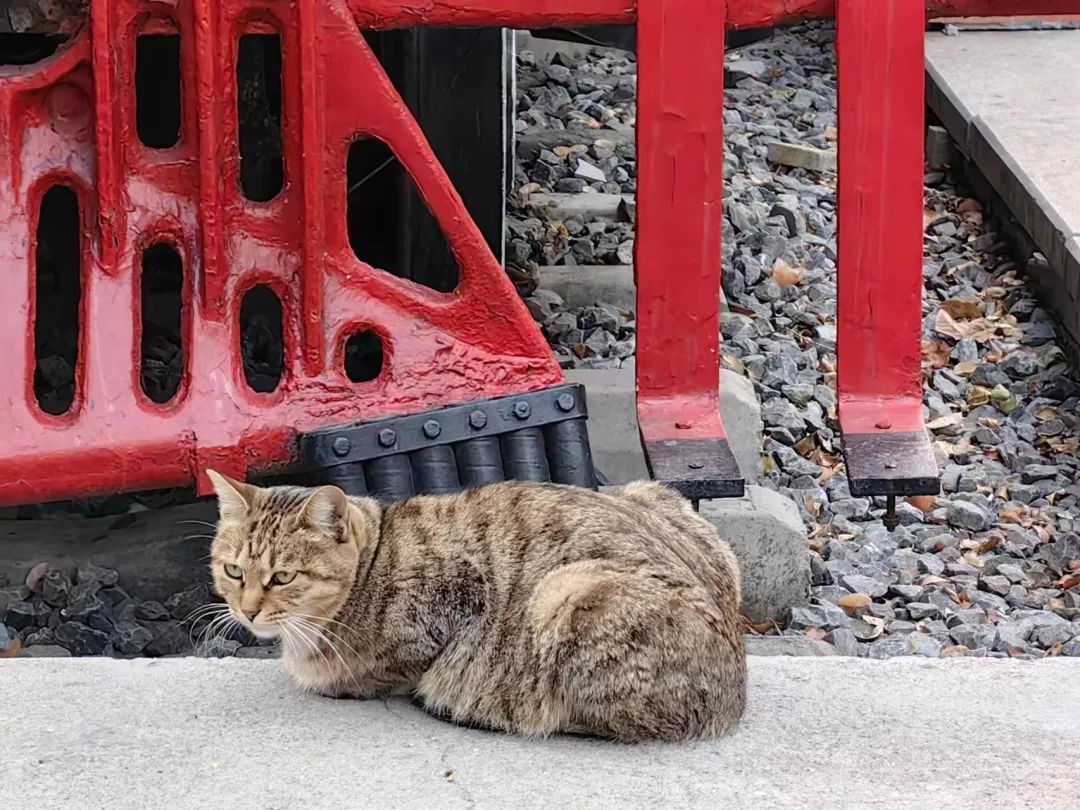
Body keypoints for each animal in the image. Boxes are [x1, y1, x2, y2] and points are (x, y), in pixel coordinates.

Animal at [206, 468, 747, 743]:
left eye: (282, 577)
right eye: (233, 572)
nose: (247, 611)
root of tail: (736, 698)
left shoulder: (455, 598)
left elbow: (377, 671)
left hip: (565, 593)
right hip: (656, 498)